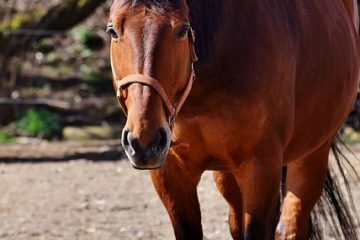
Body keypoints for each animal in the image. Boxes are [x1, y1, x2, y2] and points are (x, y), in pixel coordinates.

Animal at [107, 0, 360, 239]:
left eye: (182, 30)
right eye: (113, 31)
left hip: (313, 153)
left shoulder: (261, 167)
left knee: (290, 227)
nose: (145, 140)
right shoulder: (171, 172)